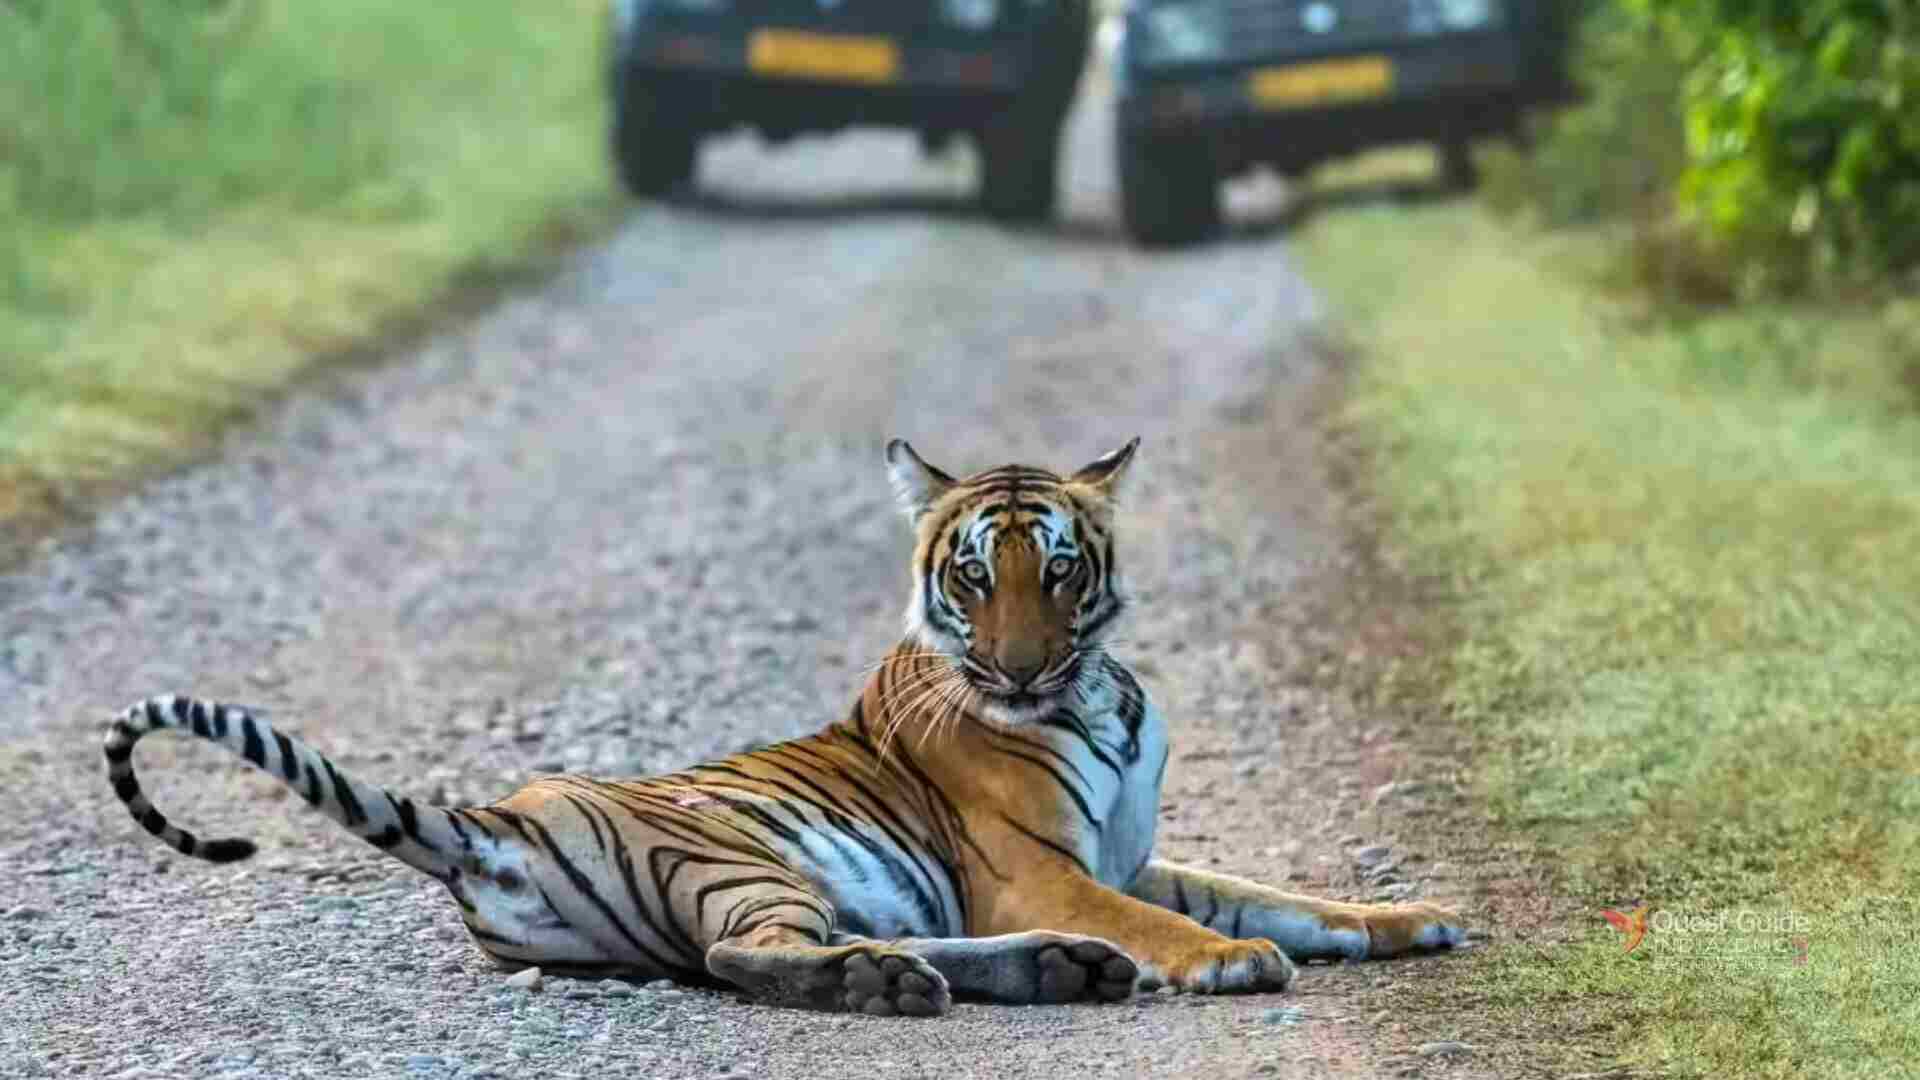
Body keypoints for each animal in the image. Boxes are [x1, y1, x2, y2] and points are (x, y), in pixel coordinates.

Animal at [103, 438, 1467, 1017]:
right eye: (974, 577)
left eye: (1062, 570)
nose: (1019, 666)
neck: (1098, 694)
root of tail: (497, 818)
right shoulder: (1037, 869)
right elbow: (1186, 923)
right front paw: (1229, 960)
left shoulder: (1129, 856)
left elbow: (1286, 895)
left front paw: (1409, 920)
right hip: (744, 859)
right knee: (738, 959)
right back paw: (907, 985)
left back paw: (1047, 971)